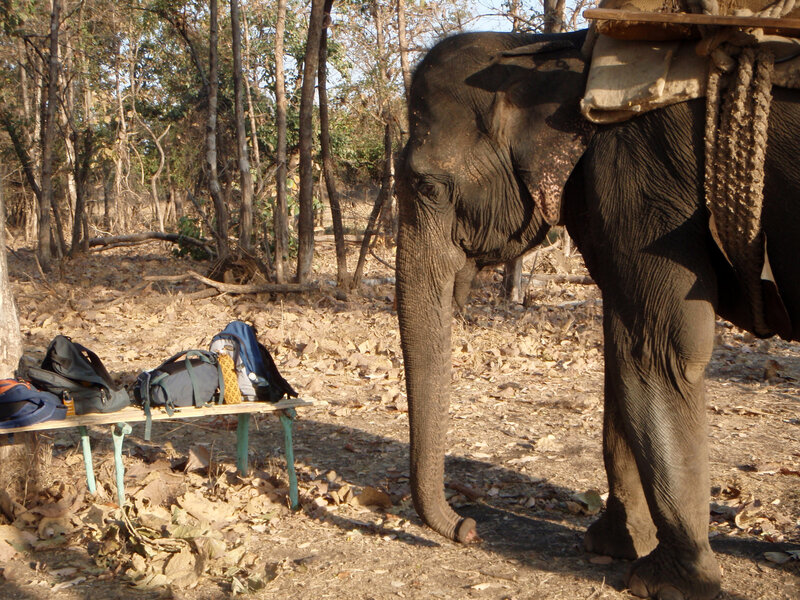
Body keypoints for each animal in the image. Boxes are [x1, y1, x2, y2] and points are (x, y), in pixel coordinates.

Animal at [395, 28, 800, 600]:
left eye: (427, 186)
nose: (469, 528)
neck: (548, 55)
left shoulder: (642, 181)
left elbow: (657, 353)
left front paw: (663, 583)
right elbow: (620, 347)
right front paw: (612, 545)